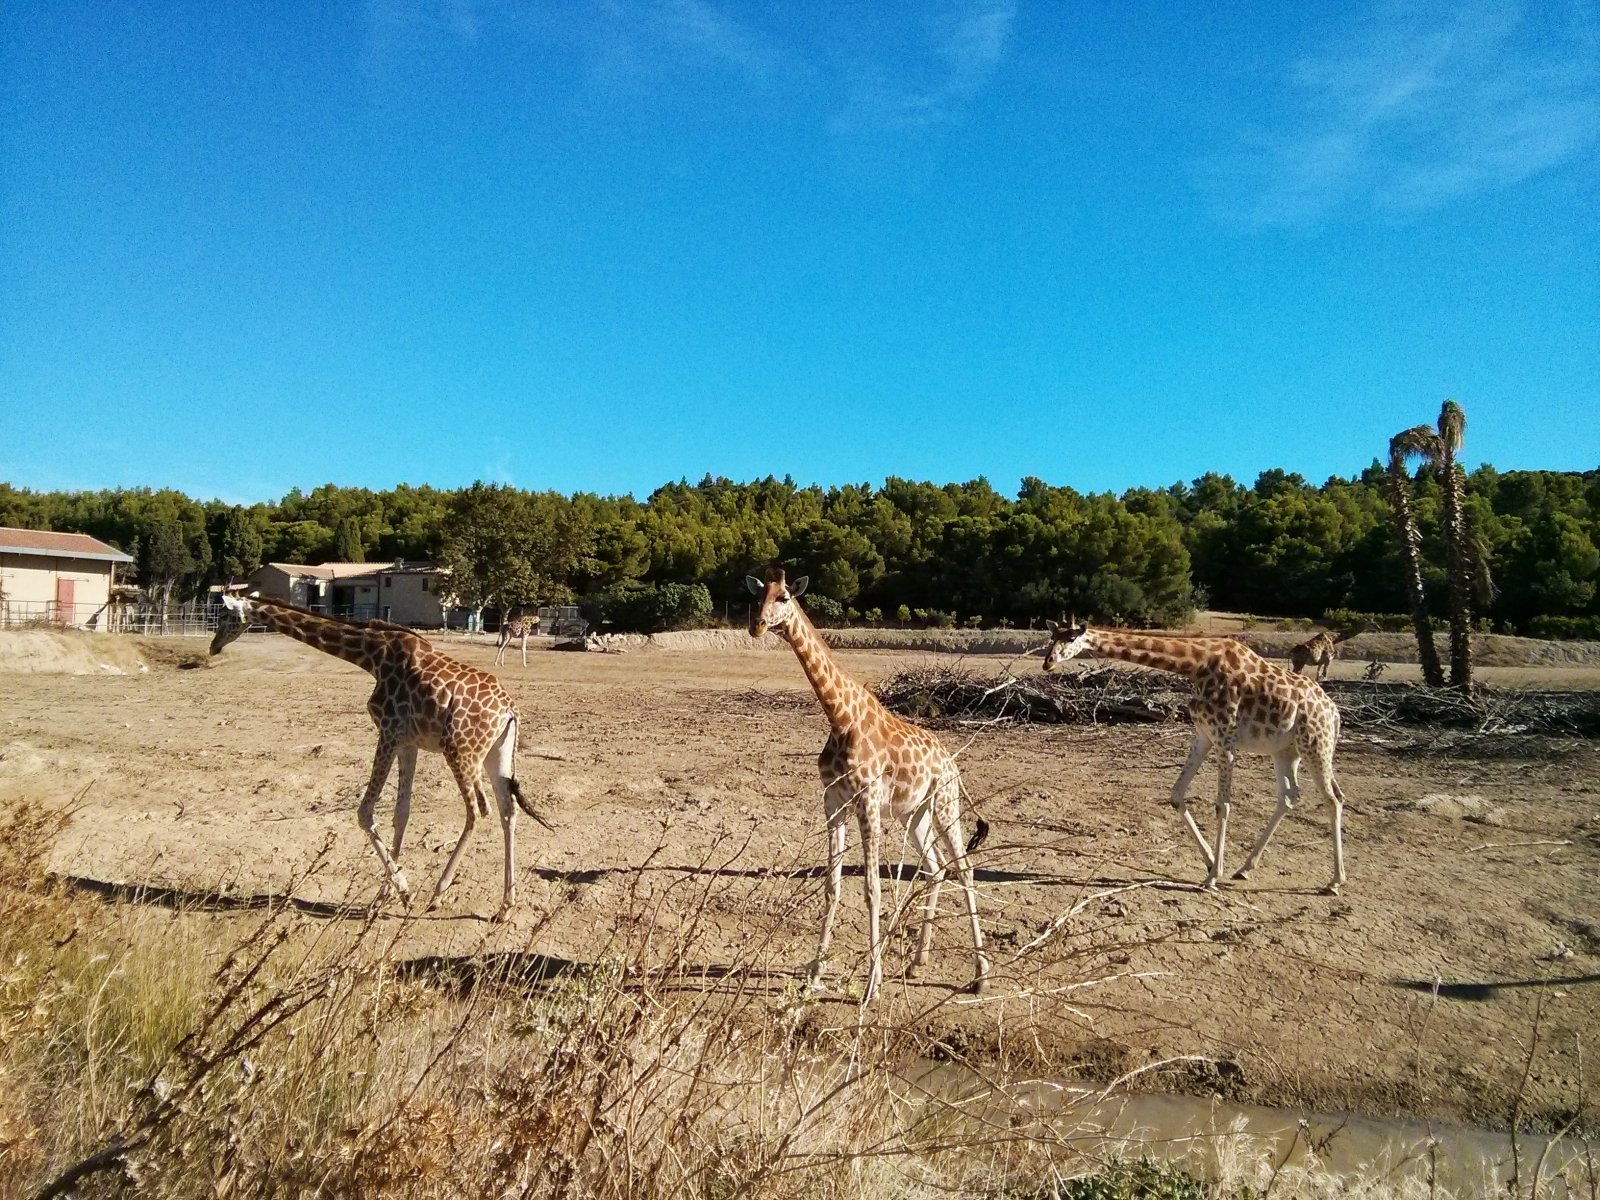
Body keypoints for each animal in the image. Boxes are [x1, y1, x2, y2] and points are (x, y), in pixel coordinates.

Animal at [211, 592, 556, 921]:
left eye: (227, 616)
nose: (214, 646)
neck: (372, 655)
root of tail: (509, 711)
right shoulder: (408, 742)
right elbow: (401, 812)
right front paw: (385, 897)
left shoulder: (388, 730)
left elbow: (365, 812)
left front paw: (403, 890)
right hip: (496, 755)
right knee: (508, 811)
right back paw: (506, 906)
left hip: (460, 750)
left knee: (479, 810)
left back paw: (438, 892)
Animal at [745, 569, 985, 998]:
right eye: (757, 596)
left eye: (784, 597)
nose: (756, 625)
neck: (840, 717)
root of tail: (952, 763)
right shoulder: (833, 802)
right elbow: (833, 886)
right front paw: (814, 976)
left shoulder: (867, 800)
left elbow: (872, 889)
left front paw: (873, 983)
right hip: (914, 814)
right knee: (936, 867)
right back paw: (918, 962)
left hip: (945, 804)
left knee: (965, 869)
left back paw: (980, 976)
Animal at [1043, 630, 1344, 896]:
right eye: (1052, 636)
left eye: (1070, 637)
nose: (1048, 662)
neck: (1197, 665)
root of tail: (1334, 711)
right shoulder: (1204, 734)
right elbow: (1176, 795)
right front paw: (1211, 863)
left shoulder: (1226, 739)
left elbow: (1223, 806)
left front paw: (1212, 877)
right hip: (1285, 751)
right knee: (1289, 797)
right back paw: (1245, 868)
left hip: (1316, 744)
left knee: (1333, 799)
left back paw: (1334, 881)